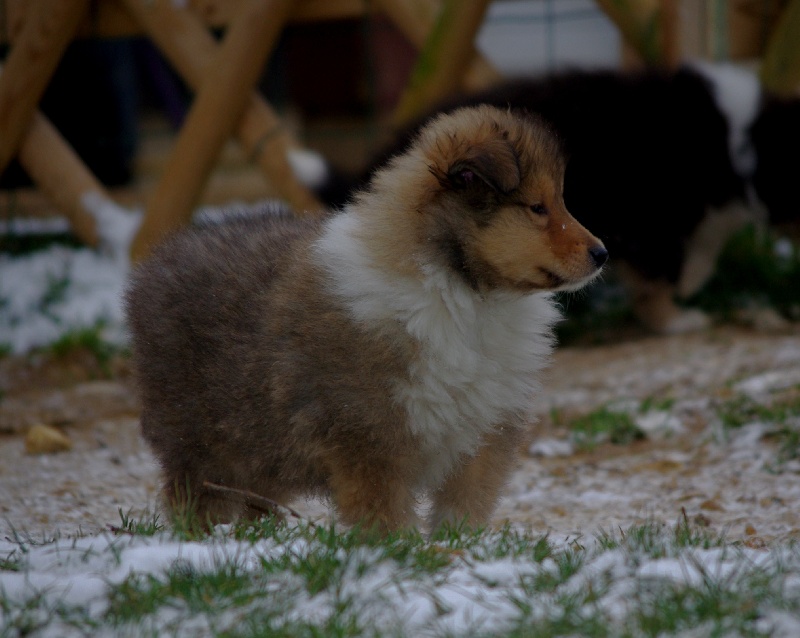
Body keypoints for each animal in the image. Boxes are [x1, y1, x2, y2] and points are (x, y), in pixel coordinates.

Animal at [125, 105, 608, 536]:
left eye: (560, 201)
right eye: (537, 208)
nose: (602, 253)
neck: (467, 295)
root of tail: (160, 258)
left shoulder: (485, 429)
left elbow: (465, 504)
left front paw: (459, 547)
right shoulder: (368, 438)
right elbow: (384, 511)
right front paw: (399, 552)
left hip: (258, 437)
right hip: (200, 439)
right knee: (197, 496)